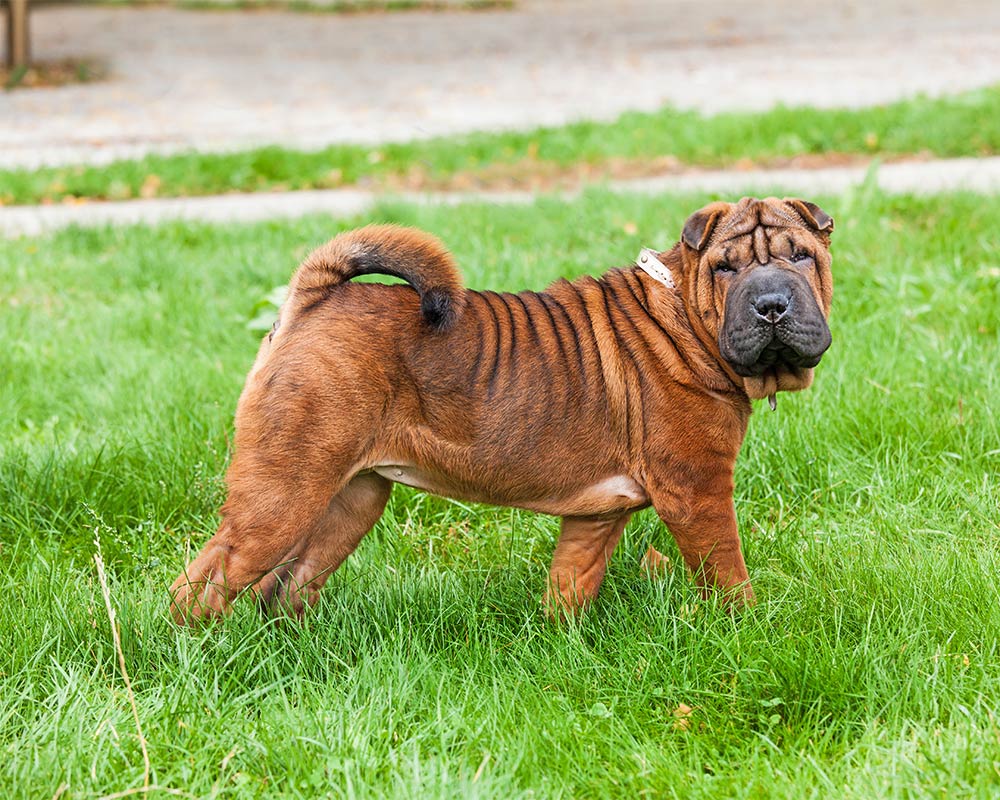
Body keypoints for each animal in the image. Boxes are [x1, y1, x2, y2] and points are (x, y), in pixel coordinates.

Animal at [170, 197, 828, 620]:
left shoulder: (598, 515)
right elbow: (727, 573)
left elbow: (571, 581)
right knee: (205, 582)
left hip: (350, 500)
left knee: (285, 588)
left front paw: (560, 645)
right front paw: (751, 632)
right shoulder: (698, 491)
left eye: (800, 257)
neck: (686, 317)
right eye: (725, 268)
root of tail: (315, 299)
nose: (771, 304)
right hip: (283, 494)